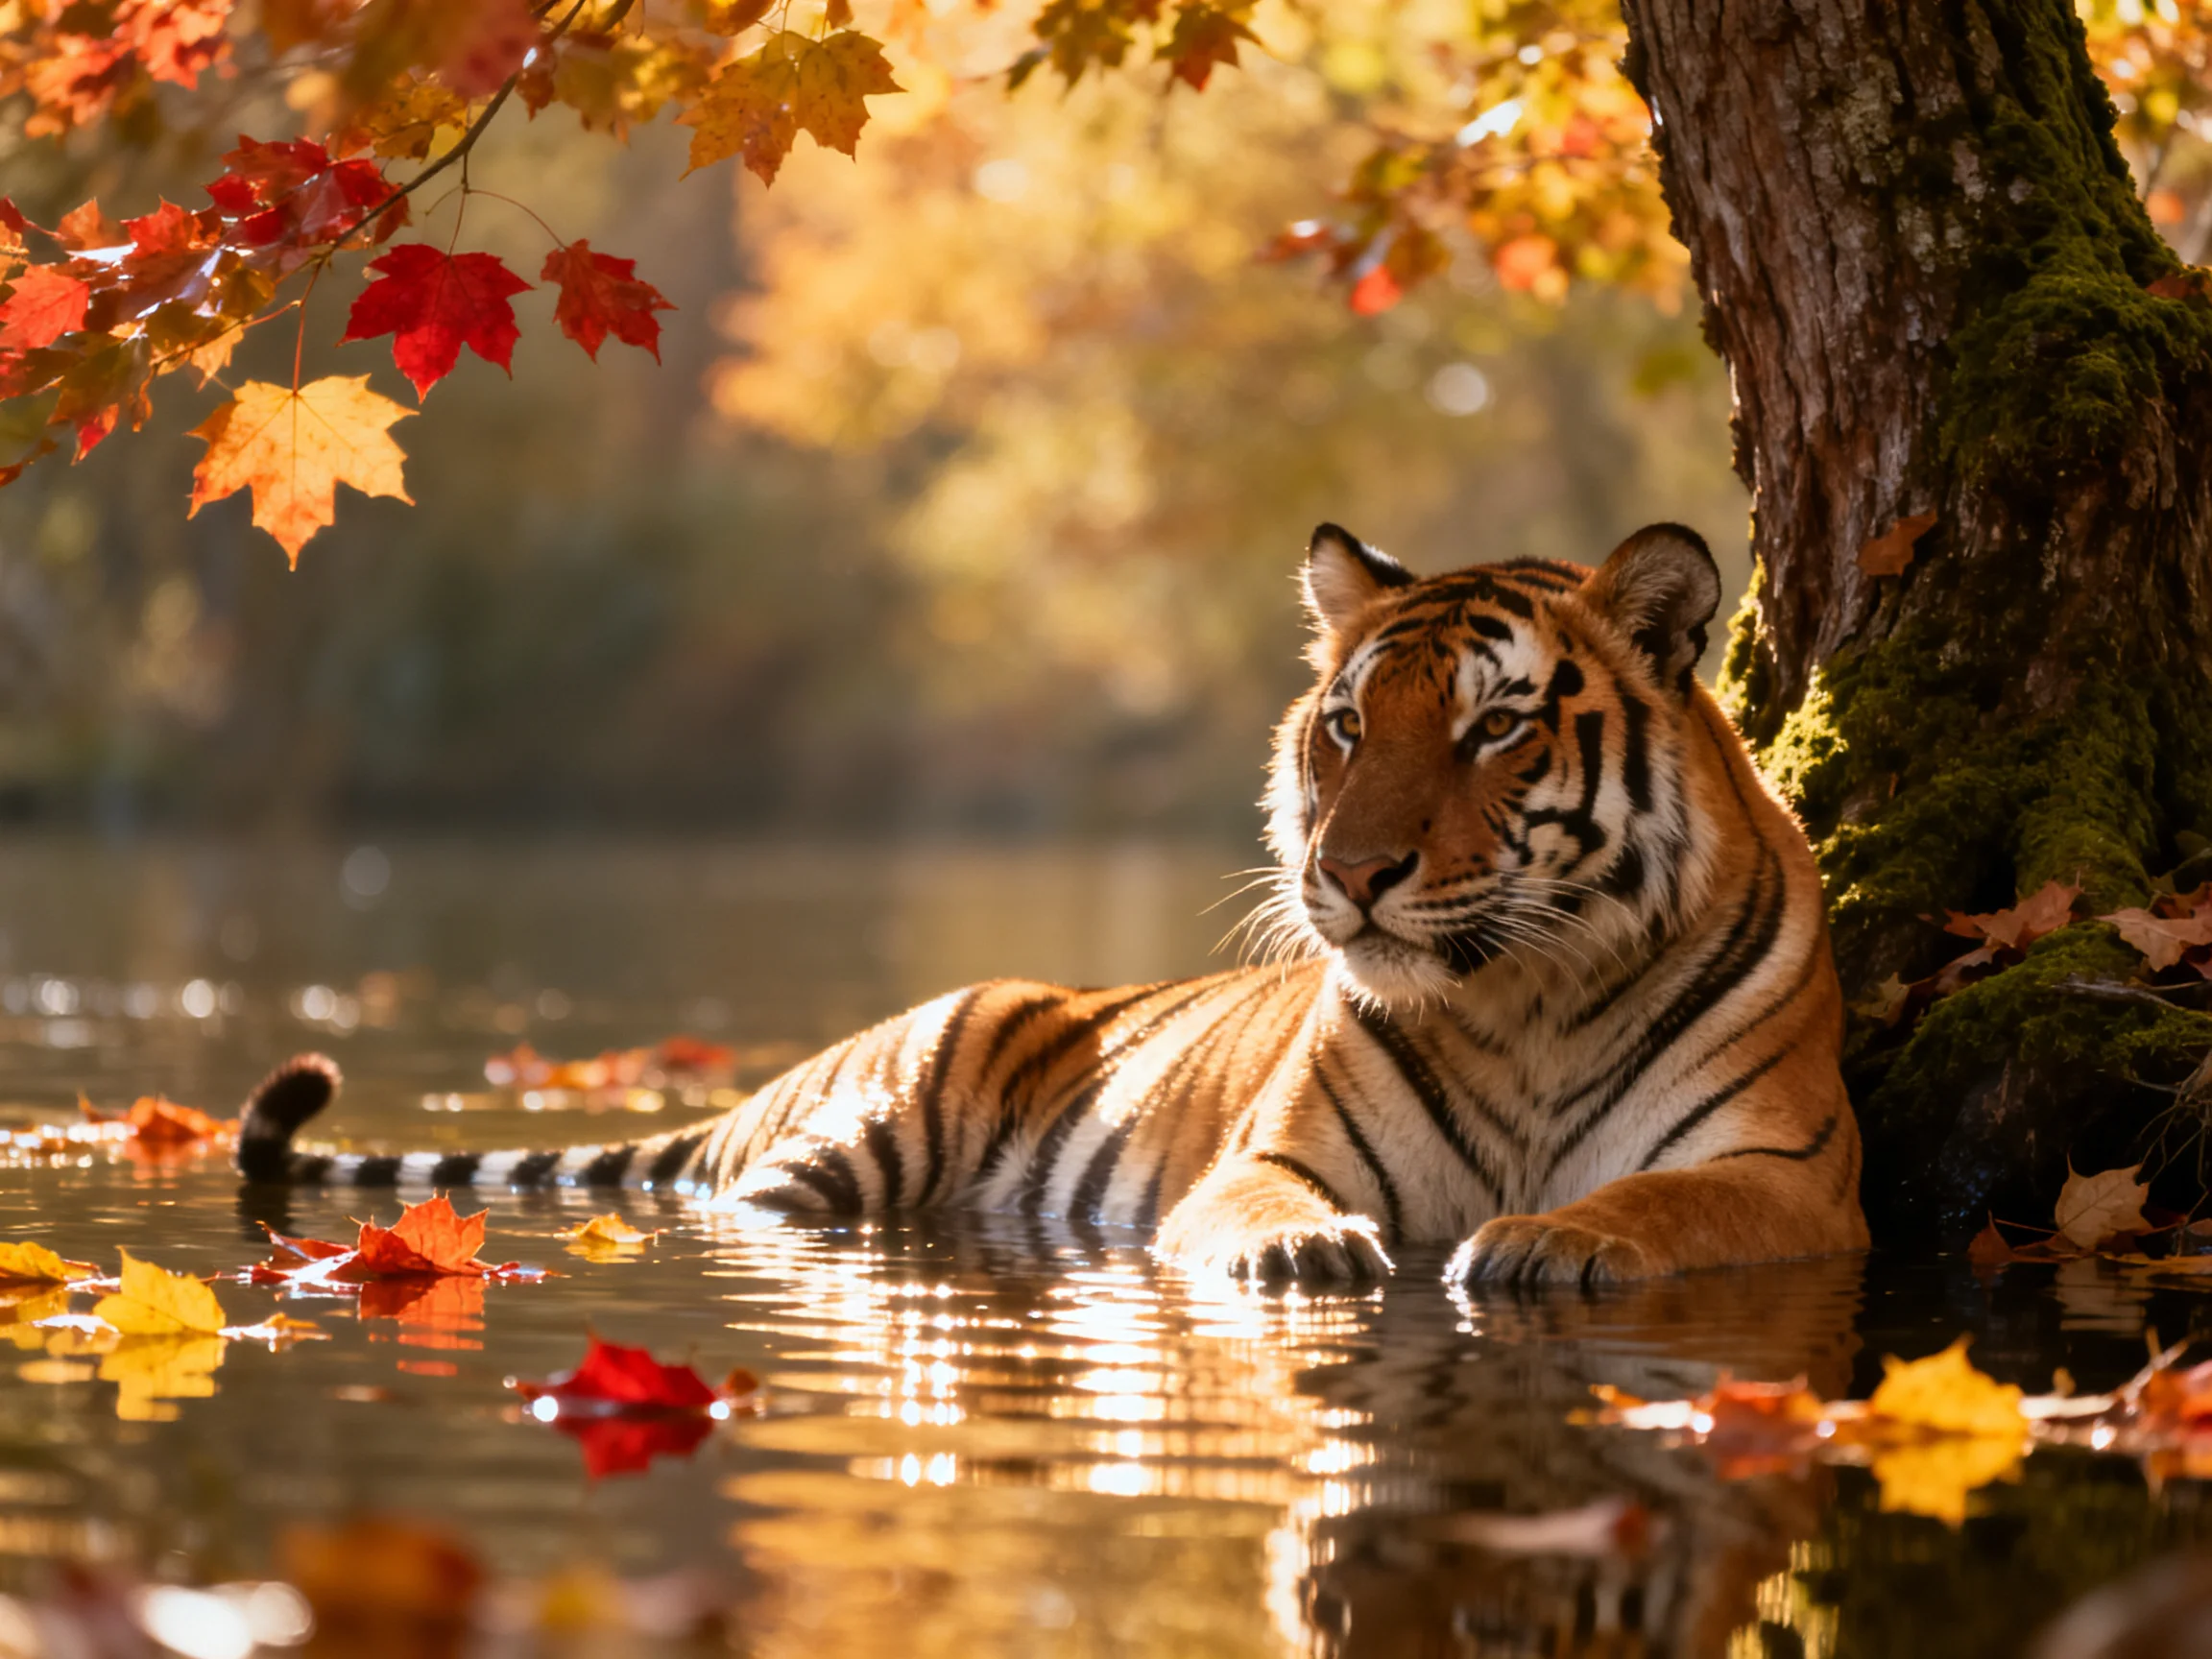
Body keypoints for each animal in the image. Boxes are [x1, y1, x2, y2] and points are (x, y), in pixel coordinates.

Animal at [238, 520, 1869, 1286]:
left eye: (1495, 729)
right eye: (1349, 727)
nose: (1349, 874)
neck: (1525, 996)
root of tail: (781, 1081)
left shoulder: (1789, 1168)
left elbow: (1665, 1196)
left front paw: (1554, 1239)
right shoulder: (1275, 1151)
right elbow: (1266, 1207)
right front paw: (1298, 1256)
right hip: (859, 1142)